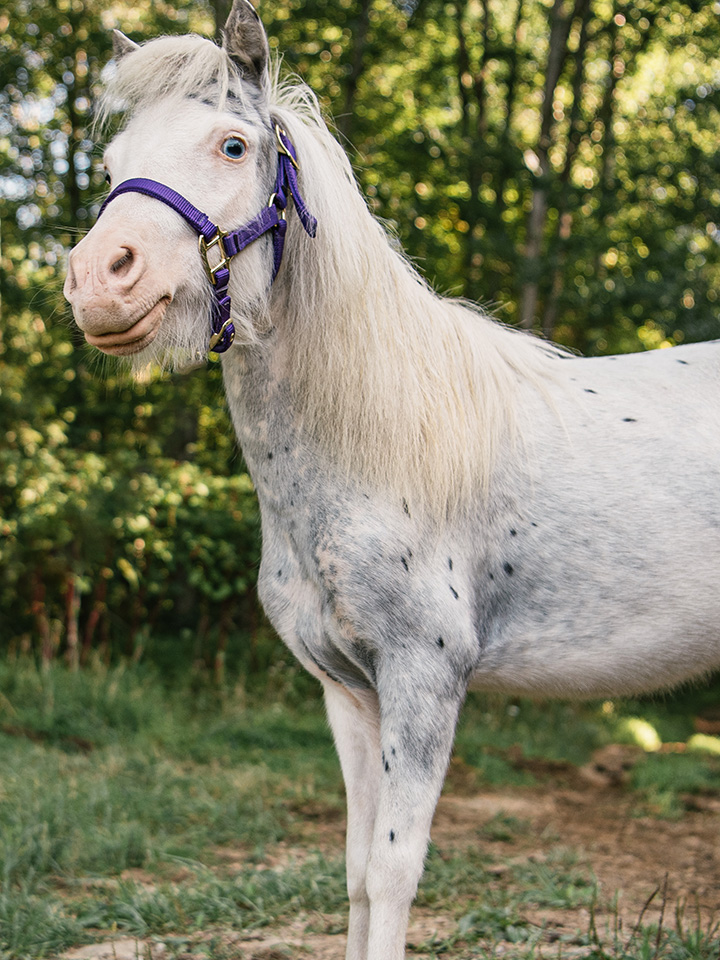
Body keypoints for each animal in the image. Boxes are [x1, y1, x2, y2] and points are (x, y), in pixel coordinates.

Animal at [64, 3, 716, 956]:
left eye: (232, 145)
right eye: (112, 167)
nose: (98, 281)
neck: (372, 451)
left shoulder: (424, 682)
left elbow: (394, 872)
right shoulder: (348, 691)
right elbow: (356, 875)